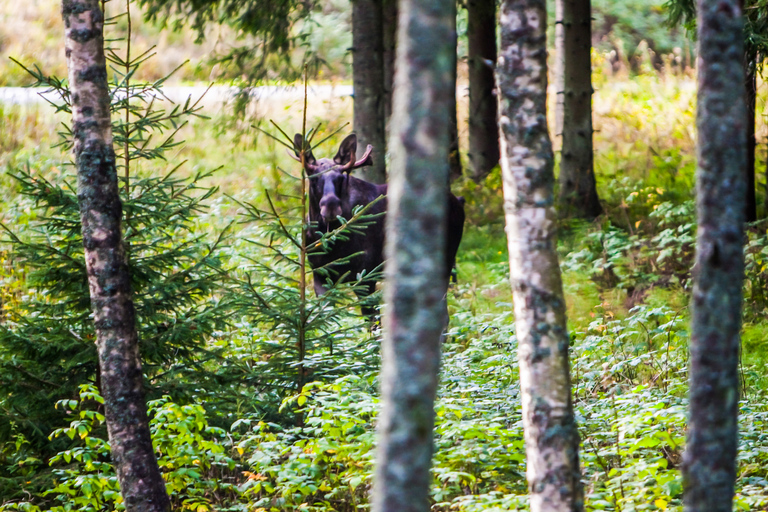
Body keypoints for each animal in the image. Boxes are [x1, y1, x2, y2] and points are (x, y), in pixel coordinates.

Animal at [292, 133, 464, 320]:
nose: (330, 205)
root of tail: (459, 201)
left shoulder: (366, 276)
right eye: (313, 177)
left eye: (341, 177)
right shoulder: (320, 275)